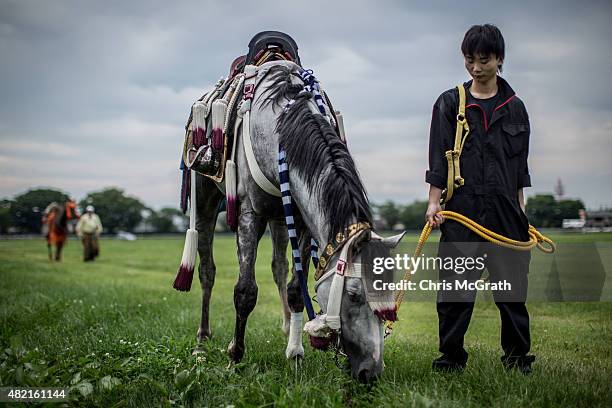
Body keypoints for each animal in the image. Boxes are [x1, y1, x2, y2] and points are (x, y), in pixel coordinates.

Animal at [194, 60, 404, 382]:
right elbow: (245, 291)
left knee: (279, 267)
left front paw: (294, 355)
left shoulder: (302, 220)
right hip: (204, 199)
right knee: (207, 269)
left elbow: (296, 289)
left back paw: (283, 327)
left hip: (281, 220)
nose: (371, 371)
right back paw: (202, 339)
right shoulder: (249, 214)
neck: (278, 127)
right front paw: (235, 357)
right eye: (354, 295)